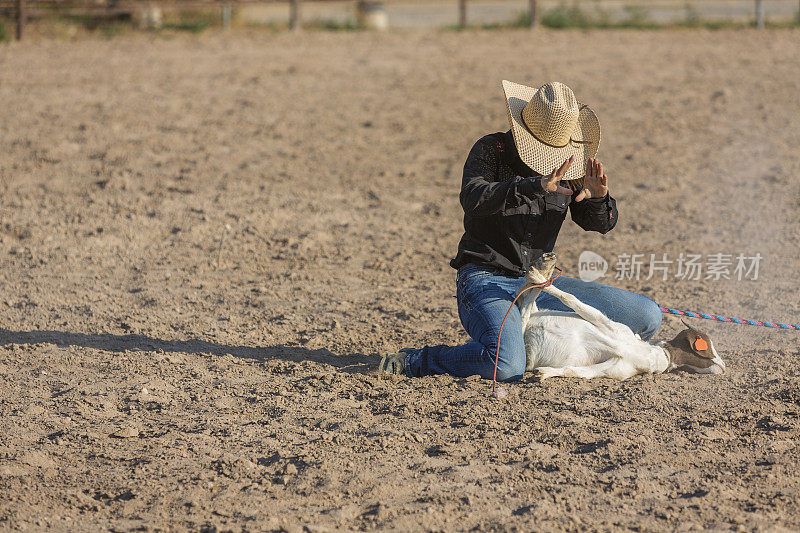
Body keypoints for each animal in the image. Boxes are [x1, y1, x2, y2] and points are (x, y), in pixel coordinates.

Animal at [520, 252, 724, 378]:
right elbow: (571, 299)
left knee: (525, 310)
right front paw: (541, 278)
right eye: (707, 347)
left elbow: (574, 371)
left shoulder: (614, 367)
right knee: (526, 303)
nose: (723, 366)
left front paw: (545, 372)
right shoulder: (608, 324)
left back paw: (540, 272)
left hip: (528, 349)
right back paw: (541, 272)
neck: (657, 355)